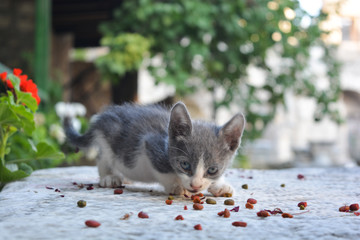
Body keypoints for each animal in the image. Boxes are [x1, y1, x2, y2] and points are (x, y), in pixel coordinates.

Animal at [64, 101, 245, 197]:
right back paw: (109, 176)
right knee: (103, 158)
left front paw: (220, 185)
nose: (195, 185)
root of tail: (102, 117)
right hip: (108, 139)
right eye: (185, 165)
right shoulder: (151, 145)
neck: (167, 142)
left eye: (212, 169)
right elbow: (164, 173)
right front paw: (177, 186)